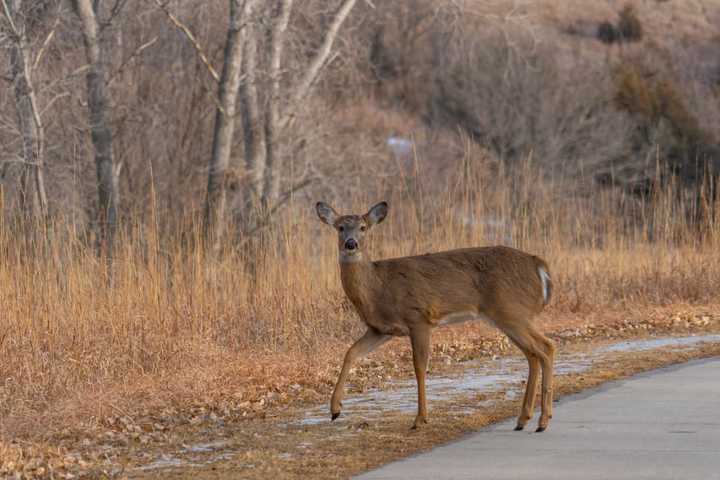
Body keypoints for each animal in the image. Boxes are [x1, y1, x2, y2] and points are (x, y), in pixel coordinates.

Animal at [316, 201, 556, 434]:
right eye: (340, 227)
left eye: (363, 227)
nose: (351, 244)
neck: (378, 287)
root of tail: (539, 265)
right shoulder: (381, 329)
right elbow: (351, 353)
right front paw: (335, 409)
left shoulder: (418, 318)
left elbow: (419, 366)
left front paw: (420, 419)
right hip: (510, 316)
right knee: (533, 354)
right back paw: (523, 419)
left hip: (511, 311)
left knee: (546, 347)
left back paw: (543, 421)